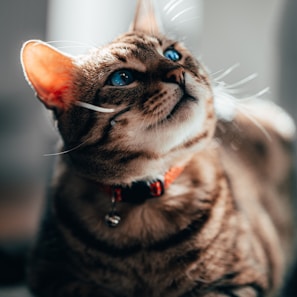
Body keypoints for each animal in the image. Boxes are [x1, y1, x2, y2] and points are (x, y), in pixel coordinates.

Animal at [20, 0, 294, 296]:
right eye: (122, 77)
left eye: (172, 54)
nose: (177, 72)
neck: (146, 196)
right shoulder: (52, 276)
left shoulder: (240, 279)